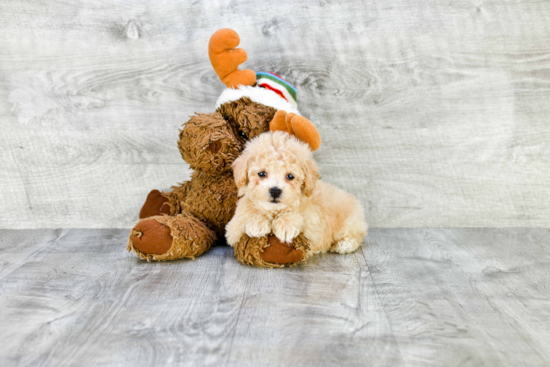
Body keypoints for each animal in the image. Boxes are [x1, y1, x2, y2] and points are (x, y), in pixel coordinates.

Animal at [226, 132, 368, 256]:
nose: (275, 191)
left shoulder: (313, 226)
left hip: (351, 221)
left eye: (290, 176)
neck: (274, 210)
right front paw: (257, 224)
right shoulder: (233, 228)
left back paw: (344, 245)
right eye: (262, 174)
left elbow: (299, 217)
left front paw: (286, 225)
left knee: (355, 235)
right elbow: (245, 218)